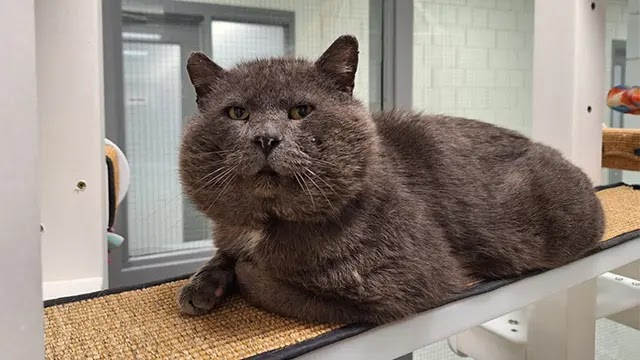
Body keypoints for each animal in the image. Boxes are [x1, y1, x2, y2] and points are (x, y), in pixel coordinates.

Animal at [176, 35, 604, 324]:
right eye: (237, 113)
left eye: (300, 111)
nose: (266, 138)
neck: (267, 222)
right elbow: (223, 252)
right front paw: (201, 285)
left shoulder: (405, 283)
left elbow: (279, 289)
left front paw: (243, 271)